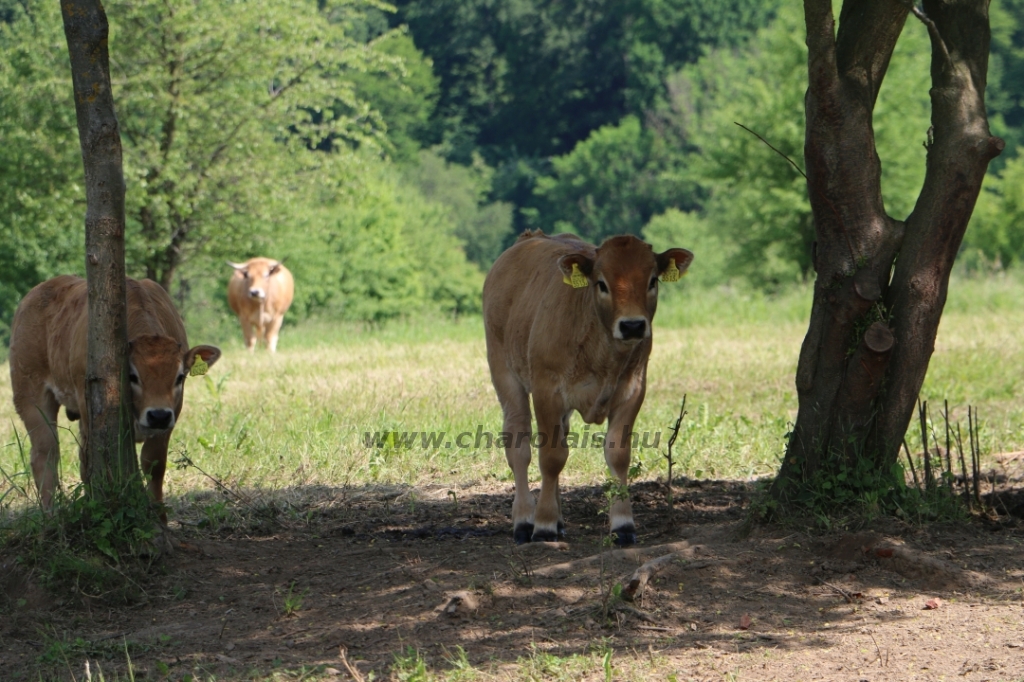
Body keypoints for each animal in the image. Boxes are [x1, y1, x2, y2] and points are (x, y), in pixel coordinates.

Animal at [481, 231, 692, 544]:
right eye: (601, 283)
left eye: (652, 280)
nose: (632, 326)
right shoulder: (547, 391)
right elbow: (551, 457)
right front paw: (543, 524)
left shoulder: (632, 391)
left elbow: (618, 455)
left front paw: (622, 524)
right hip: (505, 373)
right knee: (519, 443)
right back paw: (524, 519)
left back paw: (558, 520)